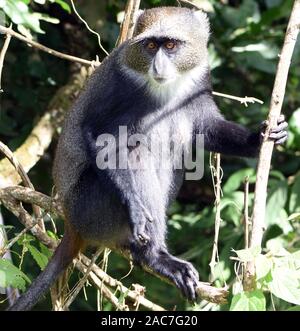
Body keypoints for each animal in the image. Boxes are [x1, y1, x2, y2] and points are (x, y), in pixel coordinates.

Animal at [7, 5, 288, 312]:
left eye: (171, 45)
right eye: (151, 46)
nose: (158, 66)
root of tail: (72, 224)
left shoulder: (200, 80)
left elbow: (206, 126)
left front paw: (259, 138)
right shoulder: (118, 85)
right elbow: (99, 136)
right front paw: (137, 209)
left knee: (179, 151)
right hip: (90, 209)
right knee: (135, 151)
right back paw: (155, 256)